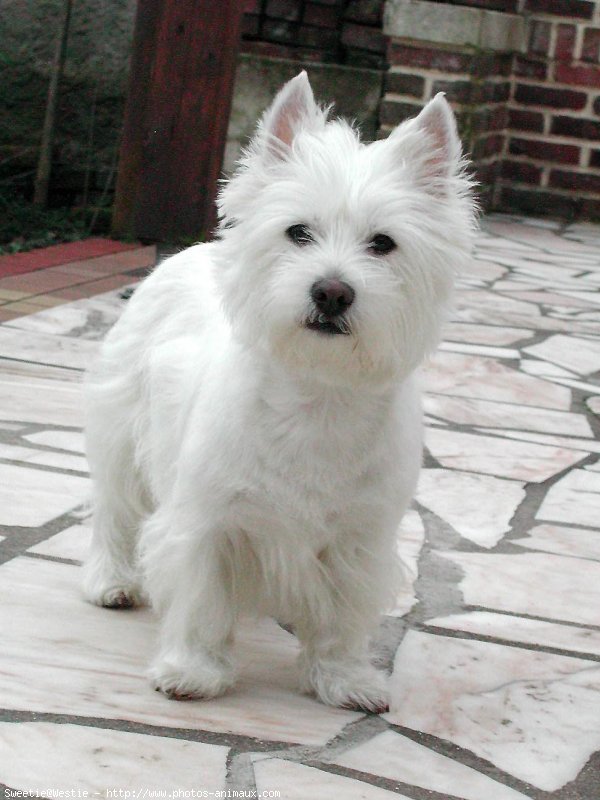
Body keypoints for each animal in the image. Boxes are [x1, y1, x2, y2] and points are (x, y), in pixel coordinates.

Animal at [84, 73, 476, 712]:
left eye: (384, 244)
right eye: (298, 232)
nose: (333, 292)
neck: (318, 397)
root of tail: (193, 249)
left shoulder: (360, 538)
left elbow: (342, 616)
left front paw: (345, 680)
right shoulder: (207, 520)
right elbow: (200, 599)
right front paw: (193, 671)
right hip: (122, 431)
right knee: (115, 510)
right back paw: (111, 582)